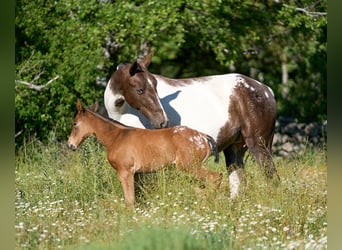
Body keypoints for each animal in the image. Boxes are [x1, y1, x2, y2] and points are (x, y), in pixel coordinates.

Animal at [68, 99, 223, 207]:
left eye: (74, 124)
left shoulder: (125, 172)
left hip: (190, 167)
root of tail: (203, 137)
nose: (70, 145)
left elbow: (129, 201)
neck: (116, 137)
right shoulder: (136, 174)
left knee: (215, 177)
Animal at [105, 53, 280, 198]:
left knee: (271, 178)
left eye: (155, 87)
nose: (162, 121)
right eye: (140, 90)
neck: (124, 113)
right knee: (239, 184)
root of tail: (267, 90)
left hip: (258, 145)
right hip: (234, 149)